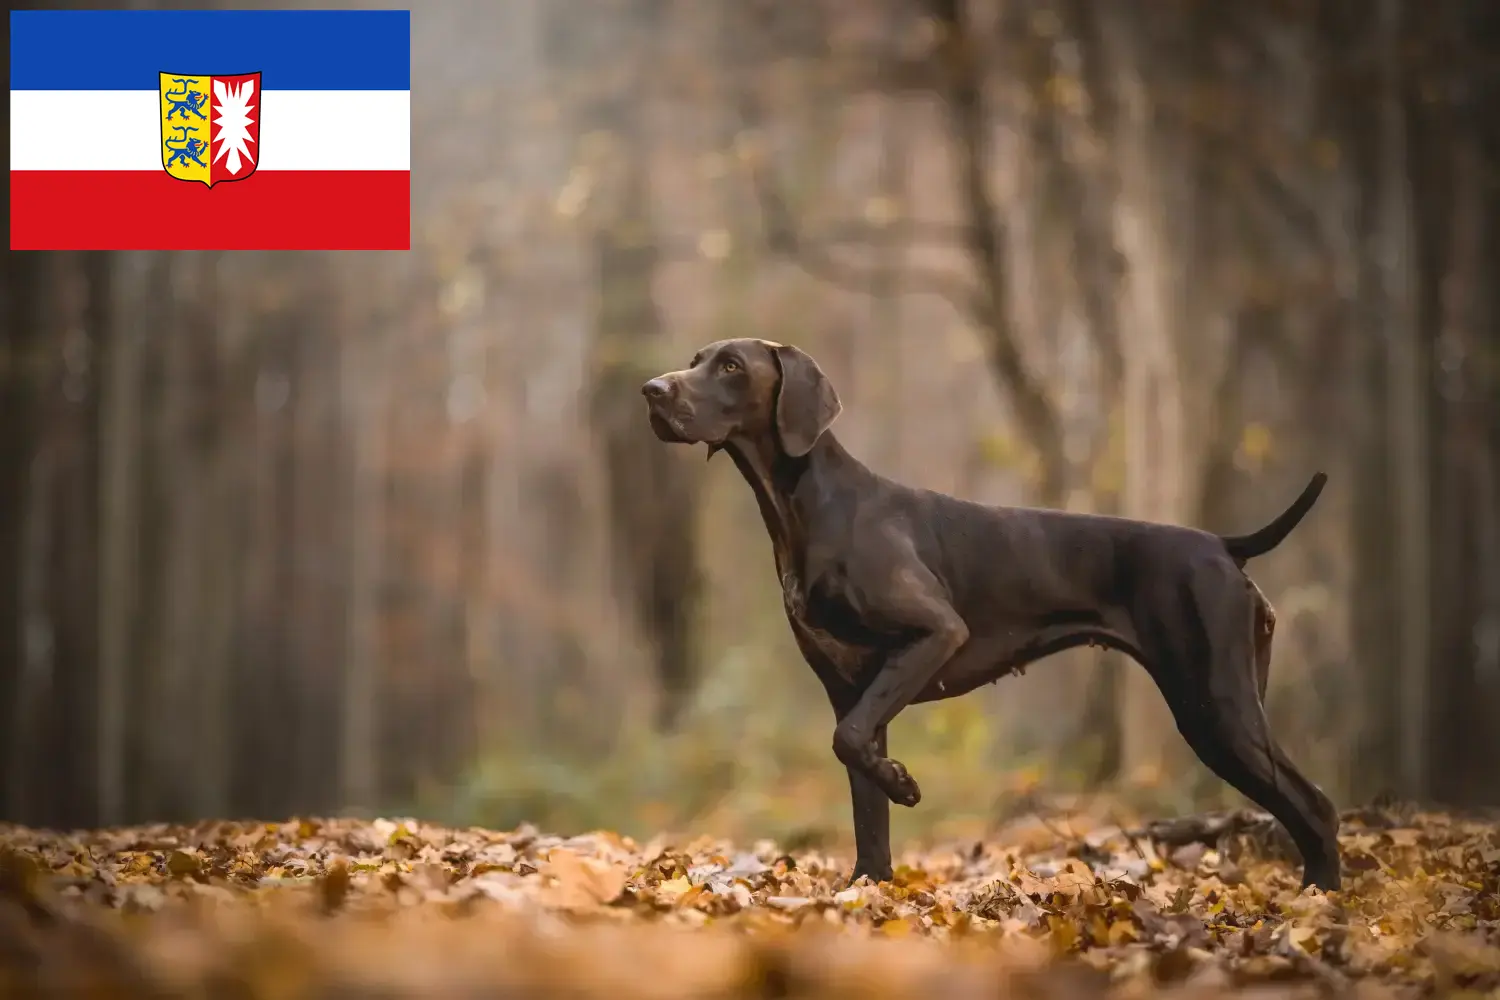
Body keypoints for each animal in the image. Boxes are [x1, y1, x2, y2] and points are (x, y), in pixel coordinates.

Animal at [639, 338, 1344, 893]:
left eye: (731, 365)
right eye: (696, 360)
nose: (651, 390)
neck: (807, 507)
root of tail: (1224, 545)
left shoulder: (935, 634)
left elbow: (851, 745)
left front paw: (903, 785)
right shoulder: (850, 688)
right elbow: (863, 796)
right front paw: (869, 888)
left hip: (1215, 707)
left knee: (1315, 805)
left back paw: (1320, 902)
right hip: (1233, 701)